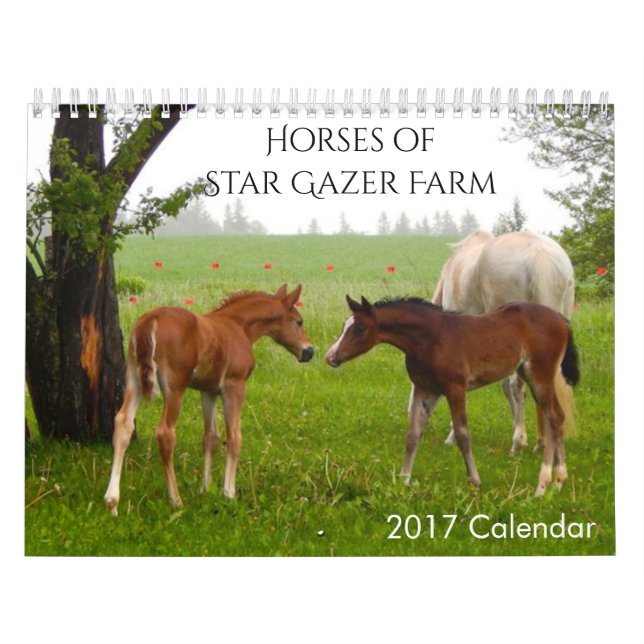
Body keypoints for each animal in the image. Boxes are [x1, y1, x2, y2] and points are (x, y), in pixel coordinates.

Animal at [104, 285, 314, 516]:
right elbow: (234, 438)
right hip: (174, 387)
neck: (239, 327)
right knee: (166, 433)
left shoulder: (209, 391)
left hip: (134, 379)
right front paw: (228, 493)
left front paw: (206, 488)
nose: (309, 351)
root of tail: (151, 319)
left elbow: (210, 438)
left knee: (123, 423)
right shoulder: (234, 386)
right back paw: (176, 500)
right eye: (299, 321)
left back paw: (112, 503)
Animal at [325, 295, 579, 495]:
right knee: (555, 417)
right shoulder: (426, 389)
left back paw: (542, 486)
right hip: (529, 374)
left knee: (553, 416)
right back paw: (559, 481)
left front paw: (475, 482)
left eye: (360, 328)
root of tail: (561, 320)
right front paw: (403, 481)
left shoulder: (455, 388)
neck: (431, 337)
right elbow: (413, 434)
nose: (330, 356)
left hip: (540, 374)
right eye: (344, 325)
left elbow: (462, 434)